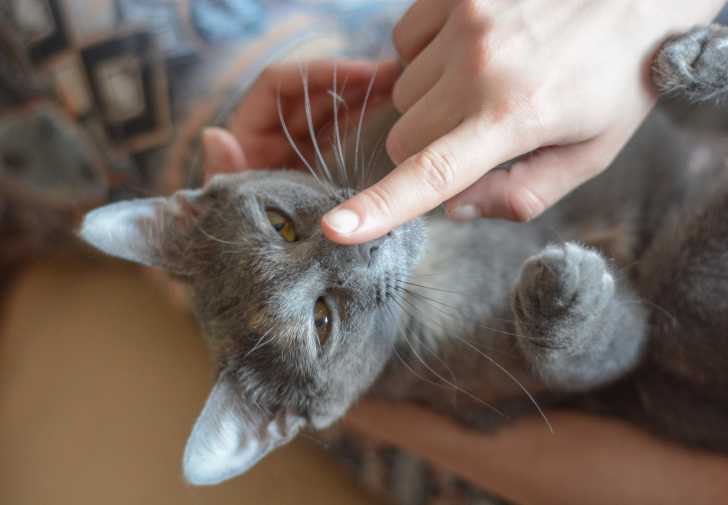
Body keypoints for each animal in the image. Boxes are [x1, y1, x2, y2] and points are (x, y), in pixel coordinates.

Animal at [78, 24, 728, 488]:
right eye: (322, 321)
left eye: (279, 224)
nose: (361, 241)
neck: (441, 243)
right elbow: (609, 346)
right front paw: (559, 295)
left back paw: (695, 58)